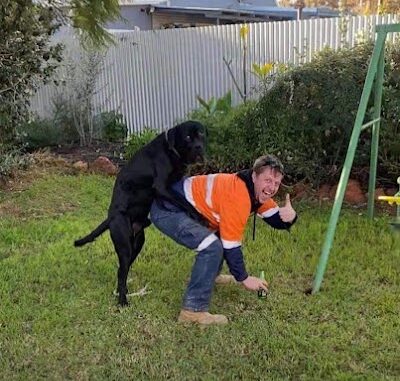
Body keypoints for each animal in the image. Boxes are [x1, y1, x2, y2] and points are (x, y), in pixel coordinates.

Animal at [74, 120, 206, 304]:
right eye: (187, 137)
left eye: (201, 134)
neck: (170, 150)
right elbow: (183, 201)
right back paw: (122, 300)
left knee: (123, 269)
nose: (199, 146)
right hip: (124, 246)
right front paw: (198, 215)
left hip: (137, 244)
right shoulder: (161, 187)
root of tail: (111, 218)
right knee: (121, 271)